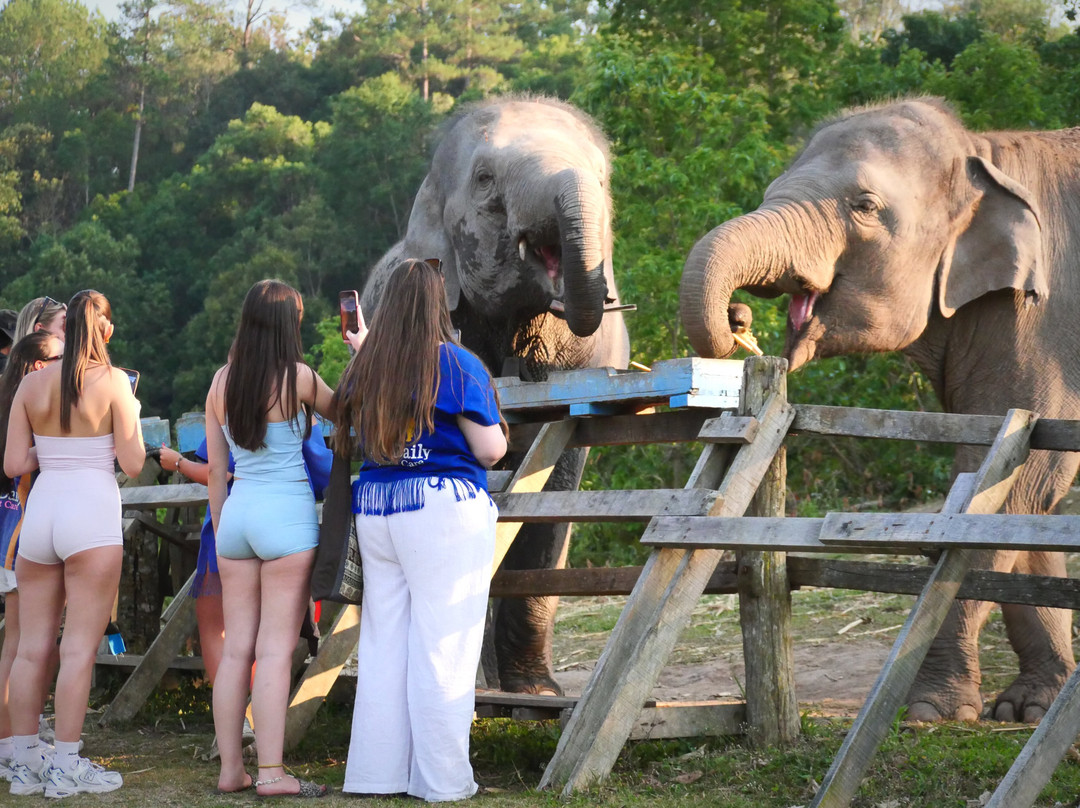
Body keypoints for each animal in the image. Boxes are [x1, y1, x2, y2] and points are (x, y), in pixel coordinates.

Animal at [680, 97, 1080, 723]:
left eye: (865, 207)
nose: (740, 317)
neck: (984, 153)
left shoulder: (1044, 323)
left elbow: (1014, 476)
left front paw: (929, 711)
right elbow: (1025, 489)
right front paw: (1029, 709)